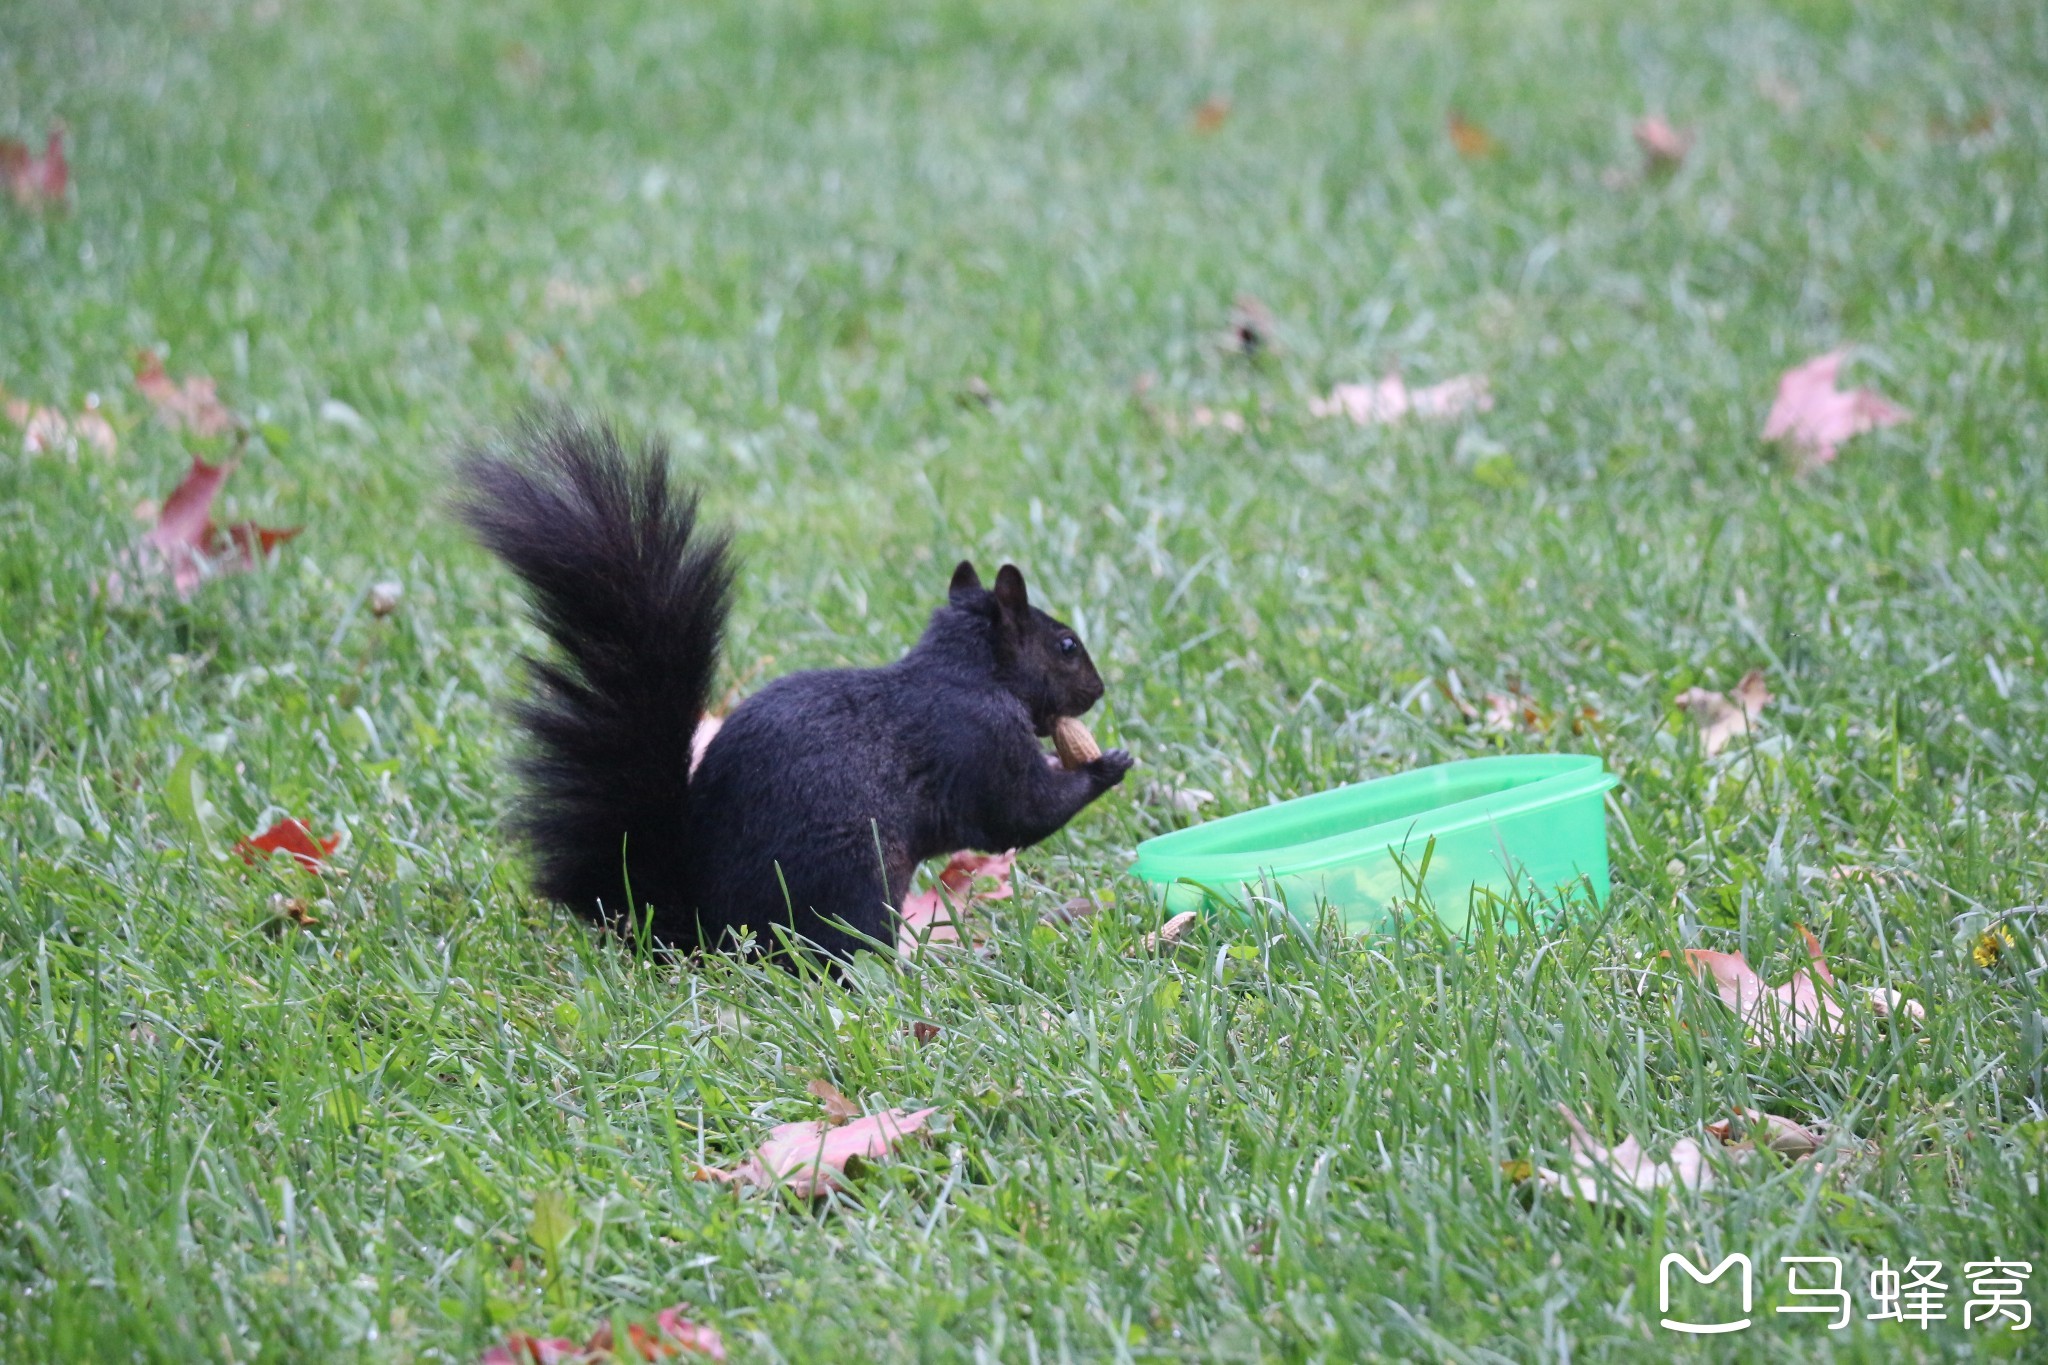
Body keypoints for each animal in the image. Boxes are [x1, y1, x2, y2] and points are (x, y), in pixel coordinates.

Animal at [458, 417, 1138, 961]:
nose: (1098, 690)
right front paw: (1105, 765)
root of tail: (701, 929)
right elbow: (1018, 814)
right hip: (851, 887)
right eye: (1066, 646)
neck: (966, 671)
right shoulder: (980, 740)